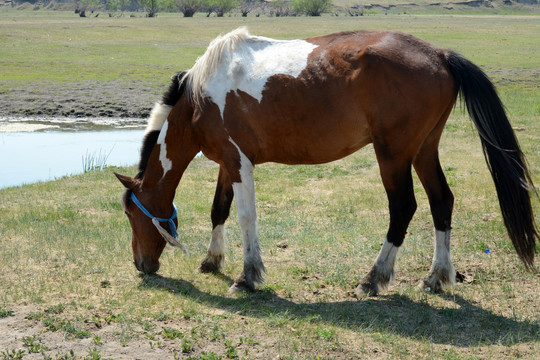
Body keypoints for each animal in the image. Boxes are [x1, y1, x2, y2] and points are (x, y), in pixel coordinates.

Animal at [114, 27, 536, 296]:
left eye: (131, 214)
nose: (141, 265)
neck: (200, 97)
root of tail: (440, 55)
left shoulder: (239, 163)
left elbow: (246, 217)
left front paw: (248, 276)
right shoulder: (227, 163)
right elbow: (219, 209)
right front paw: (212, 260)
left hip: (394, 156)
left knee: (403, 208)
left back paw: (374, 278)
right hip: (423, 151)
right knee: (441, 202)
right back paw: (436, 277)